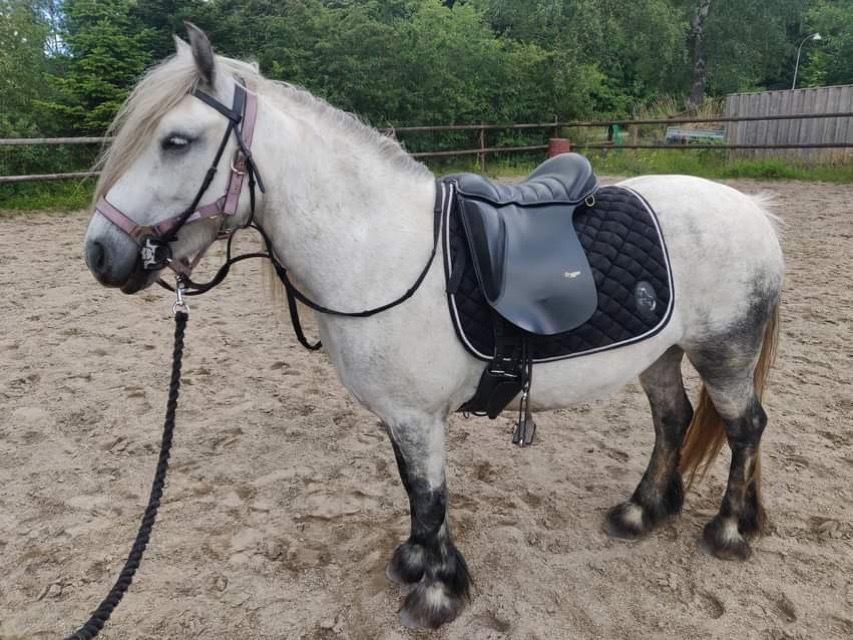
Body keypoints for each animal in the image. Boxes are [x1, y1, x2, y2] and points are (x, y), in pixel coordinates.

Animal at [82, 26, 784, 630]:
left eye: (175, 140)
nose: (100, 253)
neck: (379, 248)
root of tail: (752, 208)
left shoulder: (419, 416)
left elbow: (430, 495)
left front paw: (438, 592)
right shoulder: (398, 414)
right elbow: (413, 492)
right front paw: (417, 563)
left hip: (723, 353)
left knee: (745, 427)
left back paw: (729, 530)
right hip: (660, 352)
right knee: (672, 419)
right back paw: (642, 511)